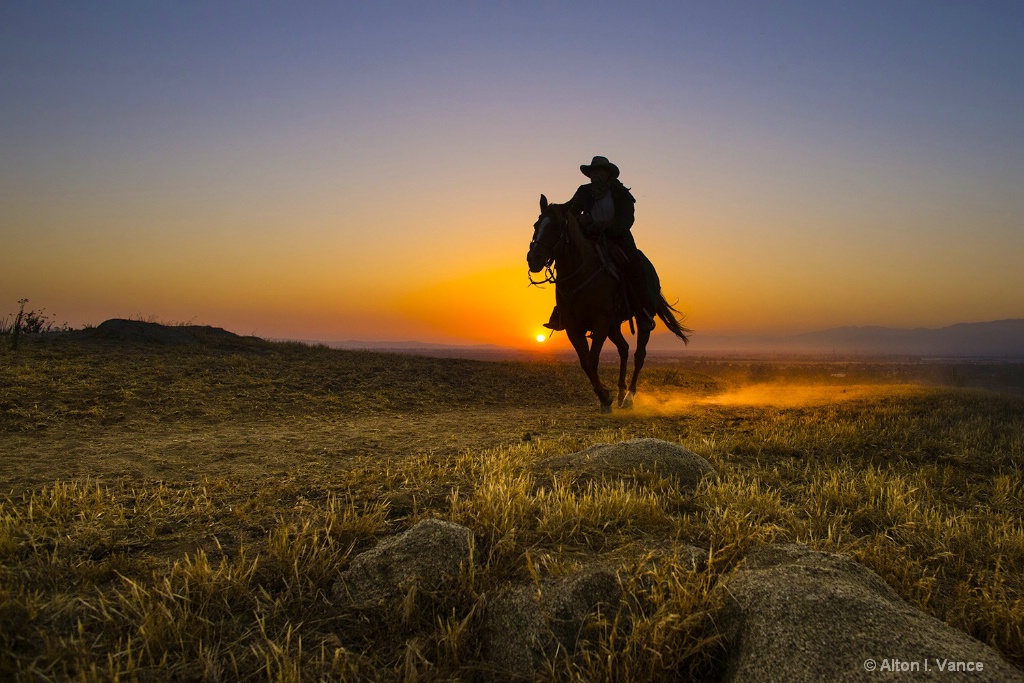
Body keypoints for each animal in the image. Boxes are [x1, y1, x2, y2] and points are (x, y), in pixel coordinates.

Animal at [528, 194, 688, 413]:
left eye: (557, 226)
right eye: (537, 224)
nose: (533, 258)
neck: (580, 272)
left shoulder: (600, 322)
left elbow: (592, 359)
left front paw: (605, 397)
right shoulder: (573, 327)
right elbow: (585, 362)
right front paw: (606, 396)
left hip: (640, 319)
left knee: (639, 354)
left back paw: (629, 397)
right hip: (614, 326)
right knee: (624, 348)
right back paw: (620, 393)